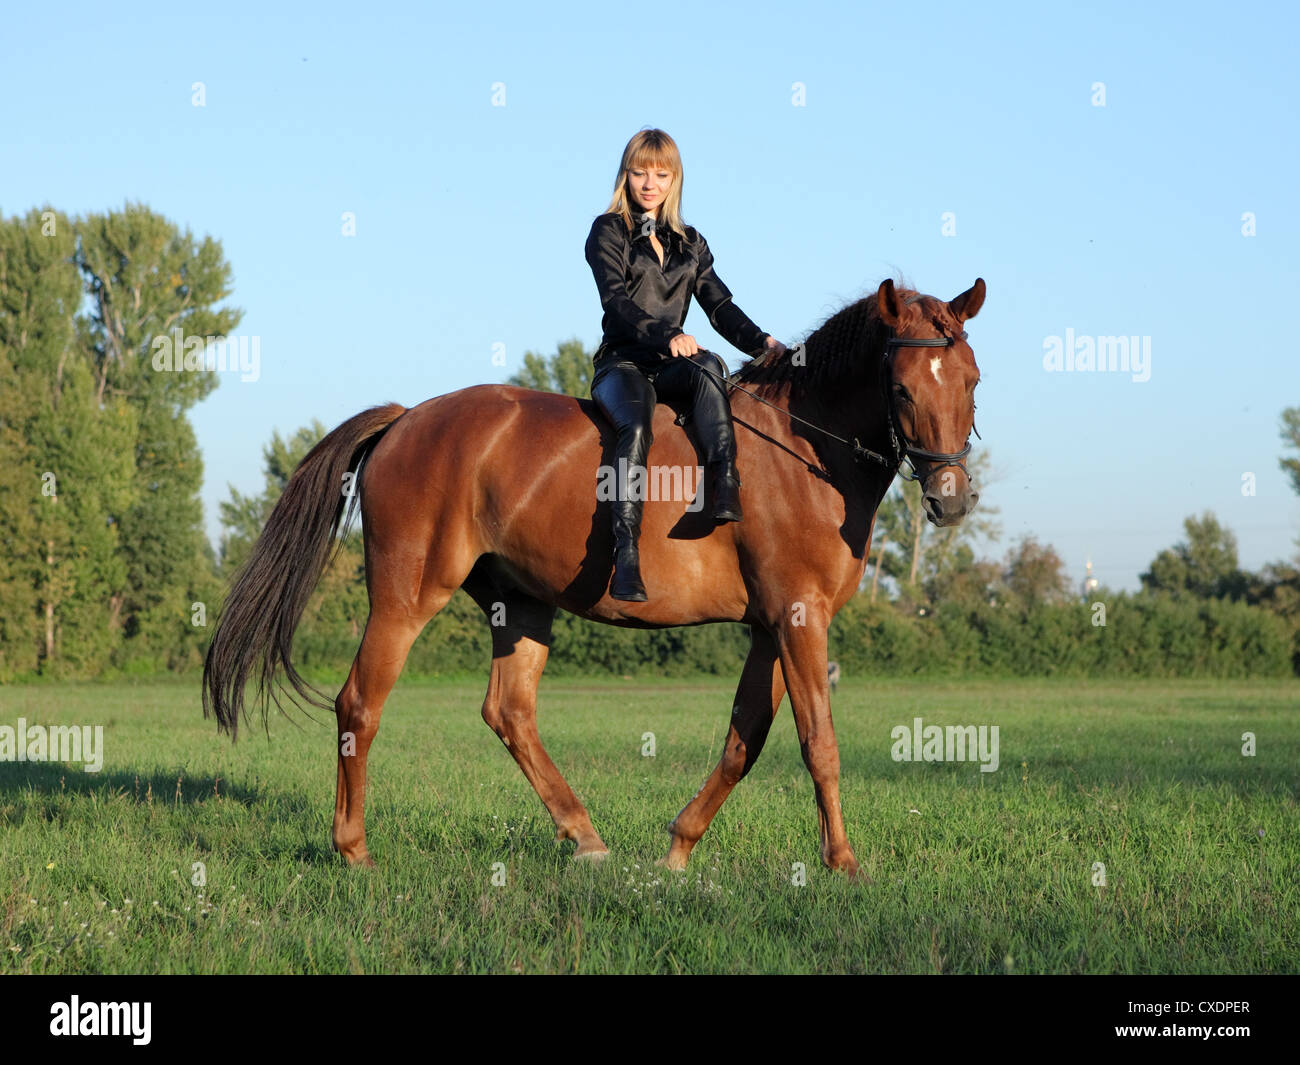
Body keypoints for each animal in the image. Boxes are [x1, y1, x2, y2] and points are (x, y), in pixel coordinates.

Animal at [200, 279, 982, 879]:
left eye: (971, 381)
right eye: (902, 390)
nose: (950, 500)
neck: (804, 448)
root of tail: (405, 419)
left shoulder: (771, 626)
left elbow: (745, 740)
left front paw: (679, 847)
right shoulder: (798, 617)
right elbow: (818, 742)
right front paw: (843, 863)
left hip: (520, 603)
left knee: (509, 712)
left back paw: (585, 836)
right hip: (406, 597)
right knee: (360, 704)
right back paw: (355, 850)